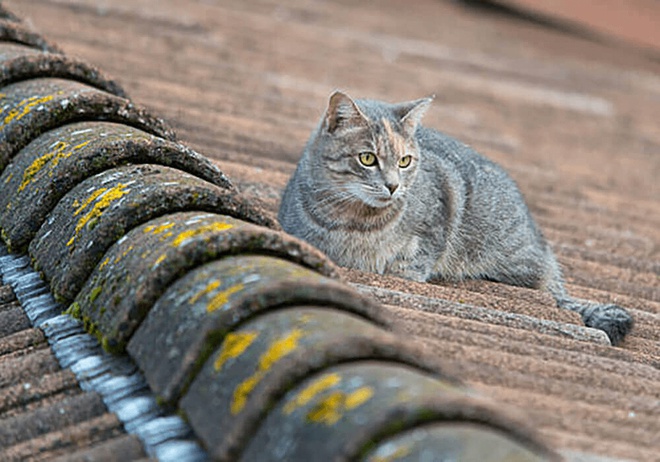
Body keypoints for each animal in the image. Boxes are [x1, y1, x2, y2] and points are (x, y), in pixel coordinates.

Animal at [278, 90, 636, 344]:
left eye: (406, 161)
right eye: (367, 158)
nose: (394, 186)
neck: (355, 220)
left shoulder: (435, 224)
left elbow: (411, 263)